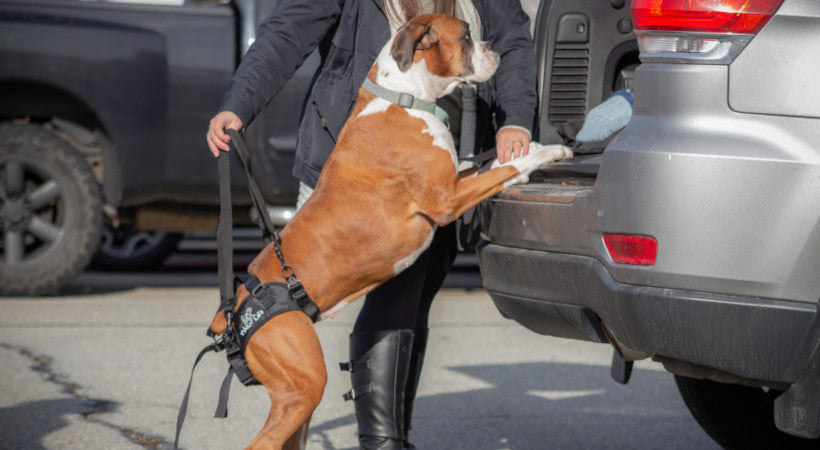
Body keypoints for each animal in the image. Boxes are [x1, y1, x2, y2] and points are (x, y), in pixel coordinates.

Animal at [210, 14, 572, 450]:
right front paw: (548, 151)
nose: (494, 51)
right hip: (303, 384)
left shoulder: (456, 178)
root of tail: (230, 313)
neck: (405, 96)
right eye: (466, 35)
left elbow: (493, 165)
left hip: (297, 396)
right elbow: (502, 170)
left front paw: (528, 146)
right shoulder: (448, 198)